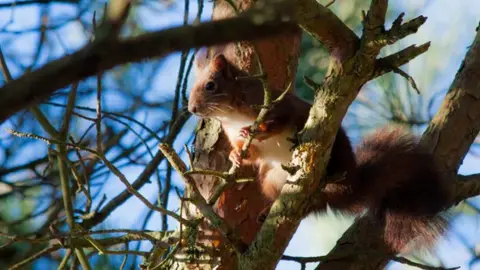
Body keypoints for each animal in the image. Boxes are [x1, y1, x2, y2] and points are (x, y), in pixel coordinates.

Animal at [188, 48, 454, 253]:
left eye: (210, 85)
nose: (191, 108)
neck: (232, 116)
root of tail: (351, 186)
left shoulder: (279, 105)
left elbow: (281, 121)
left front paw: (261, 130)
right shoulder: (233, 135)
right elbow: (249, 153)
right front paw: (235, 155)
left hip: (335, 152)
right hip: (270, 178)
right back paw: (267, 212)